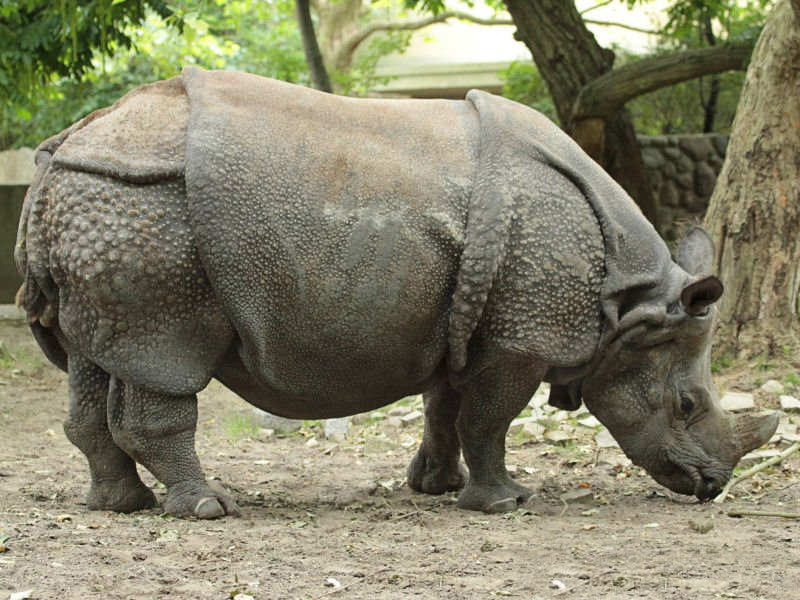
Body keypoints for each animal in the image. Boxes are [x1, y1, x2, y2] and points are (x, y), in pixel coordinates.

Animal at [15, 67, 777, 518]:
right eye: (686, 405)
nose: (713, 486)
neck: (628, 303)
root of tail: (57, 155)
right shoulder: (523, 334)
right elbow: (490, 418)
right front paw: (505, 503)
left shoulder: (463, 320)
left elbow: (446, 405)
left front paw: (434, 487)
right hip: (146, 213)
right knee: (167, 355)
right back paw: (206, 509)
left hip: (103, 204)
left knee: (92, 360)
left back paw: (120, 506)